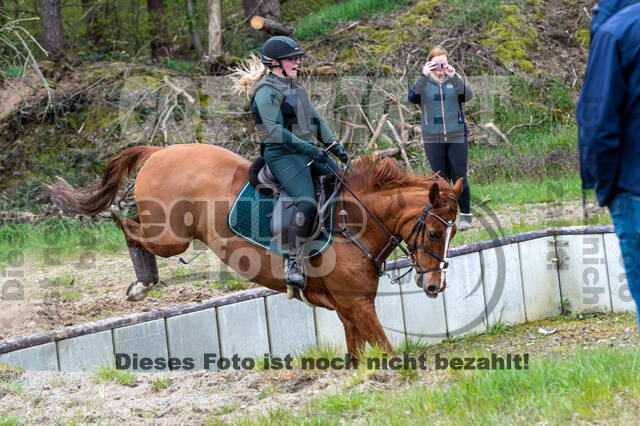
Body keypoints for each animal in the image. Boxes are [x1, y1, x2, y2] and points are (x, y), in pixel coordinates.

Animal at [47, 144, 462, 356]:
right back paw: (141, 279)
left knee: (134, 227)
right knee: (131, 229)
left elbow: (358, 354)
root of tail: (161, 150)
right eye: (435, 231)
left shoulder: (349, 308)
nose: (435, 287)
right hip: (170, 235)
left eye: (455, 231)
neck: (352, 220)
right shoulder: (359, 305)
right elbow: (387, 352)